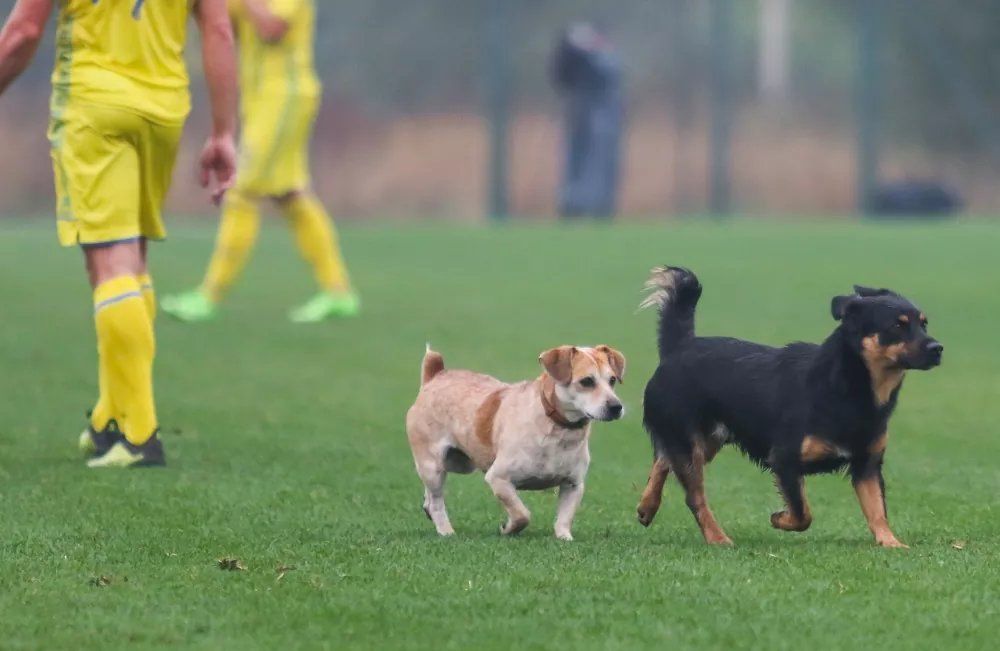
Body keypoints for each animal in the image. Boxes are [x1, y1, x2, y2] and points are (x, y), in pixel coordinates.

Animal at [404, 346, 624, 540]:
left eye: (612, 380)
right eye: (587, 381)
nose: (616, 406)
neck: (557, 429)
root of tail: (435, 376)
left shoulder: (573, 485)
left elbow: (564, 518)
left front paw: (564, 538)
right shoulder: (498, 478)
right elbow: (522, 514)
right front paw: (507, 528)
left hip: (457, 463)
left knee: (430, 497)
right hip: (433, 466)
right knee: (436, 501)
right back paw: (446, 531)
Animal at [636, 268, 940, 548]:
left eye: (924, 324)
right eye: (897, 326)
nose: (938, 348)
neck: (849, 387)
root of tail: (679, 348)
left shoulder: (867, 465)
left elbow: (877, 510)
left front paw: (890, 542)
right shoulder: (785, 460)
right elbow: (803, 513)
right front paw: (780, 519)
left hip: (707, 439)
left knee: (663, 459)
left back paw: (647, 506)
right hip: (688, 441)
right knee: (694, 495)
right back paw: (717, 537)